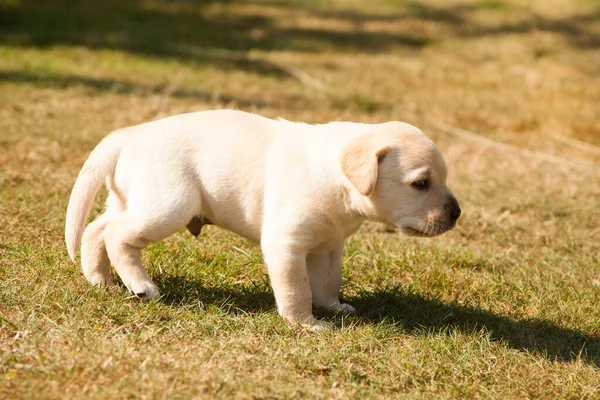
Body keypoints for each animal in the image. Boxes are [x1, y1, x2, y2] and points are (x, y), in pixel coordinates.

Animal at [64, 108, 460, 328]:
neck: (337, 180)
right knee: (117, 236)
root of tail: (130, 133)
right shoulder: (286, 244)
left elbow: (328, 282)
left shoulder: (329, 246)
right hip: (168, 205)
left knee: (95, 231)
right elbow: (298, 289)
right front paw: (306, 324)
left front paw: (334, 308)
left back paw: (100, 281)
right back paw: (141, 286)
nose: (457, 214)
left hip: (130, 200)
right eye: (421, 183)